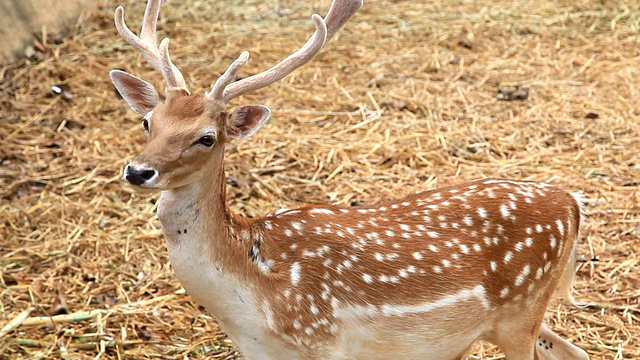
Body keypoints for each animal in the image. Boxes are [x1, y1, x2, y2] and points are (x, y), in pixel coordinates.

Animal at [109, 0, 592, 360]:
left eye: (207, 137)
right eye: (149, 122)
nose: (138, 170)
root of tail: (572, 202)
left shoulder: (323, 341)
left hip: (521, 308)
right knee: (574, 350)